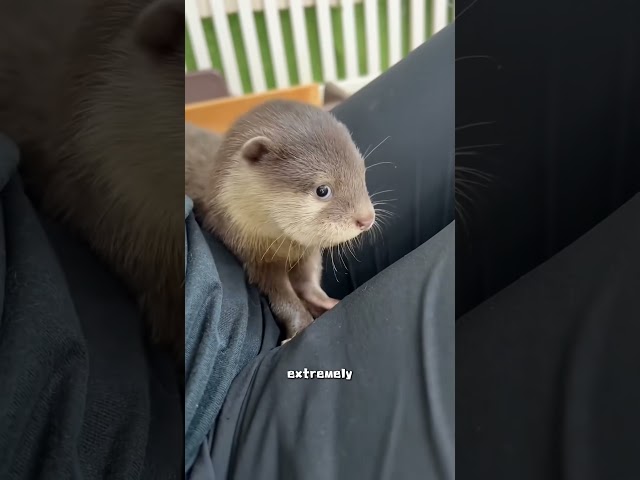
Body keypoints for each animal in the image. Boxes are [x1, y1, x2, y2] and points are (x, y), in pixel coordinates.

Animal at [185, 100, 376, 342]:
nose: (366, 219)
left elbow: (308, 277)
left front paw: (322, 300)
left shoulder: (306, 251)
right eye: (323, 190)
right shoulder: (253, 256)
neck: (285, 248)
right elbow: (282, 299)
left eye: (362, 173)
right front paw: (299, 327)